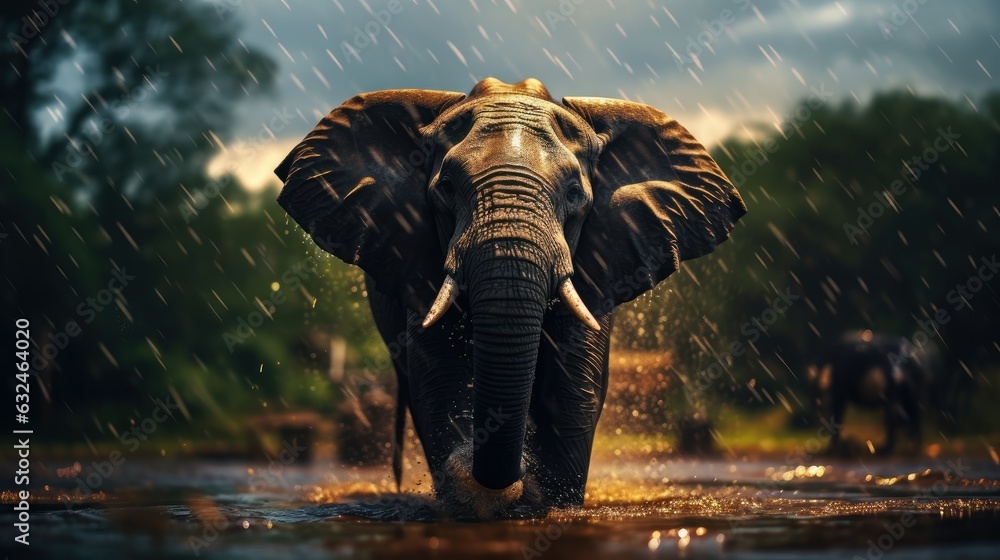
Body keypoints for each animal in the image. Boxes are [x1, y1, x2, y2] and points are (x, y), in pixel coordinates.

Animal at [274, 77, 746, 517]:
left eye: (574, 194)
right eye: (446, 188)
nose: (512, 478)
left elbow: (572, 387)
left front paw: (547, 504)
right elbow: (440, 381)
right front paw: (471, 499)